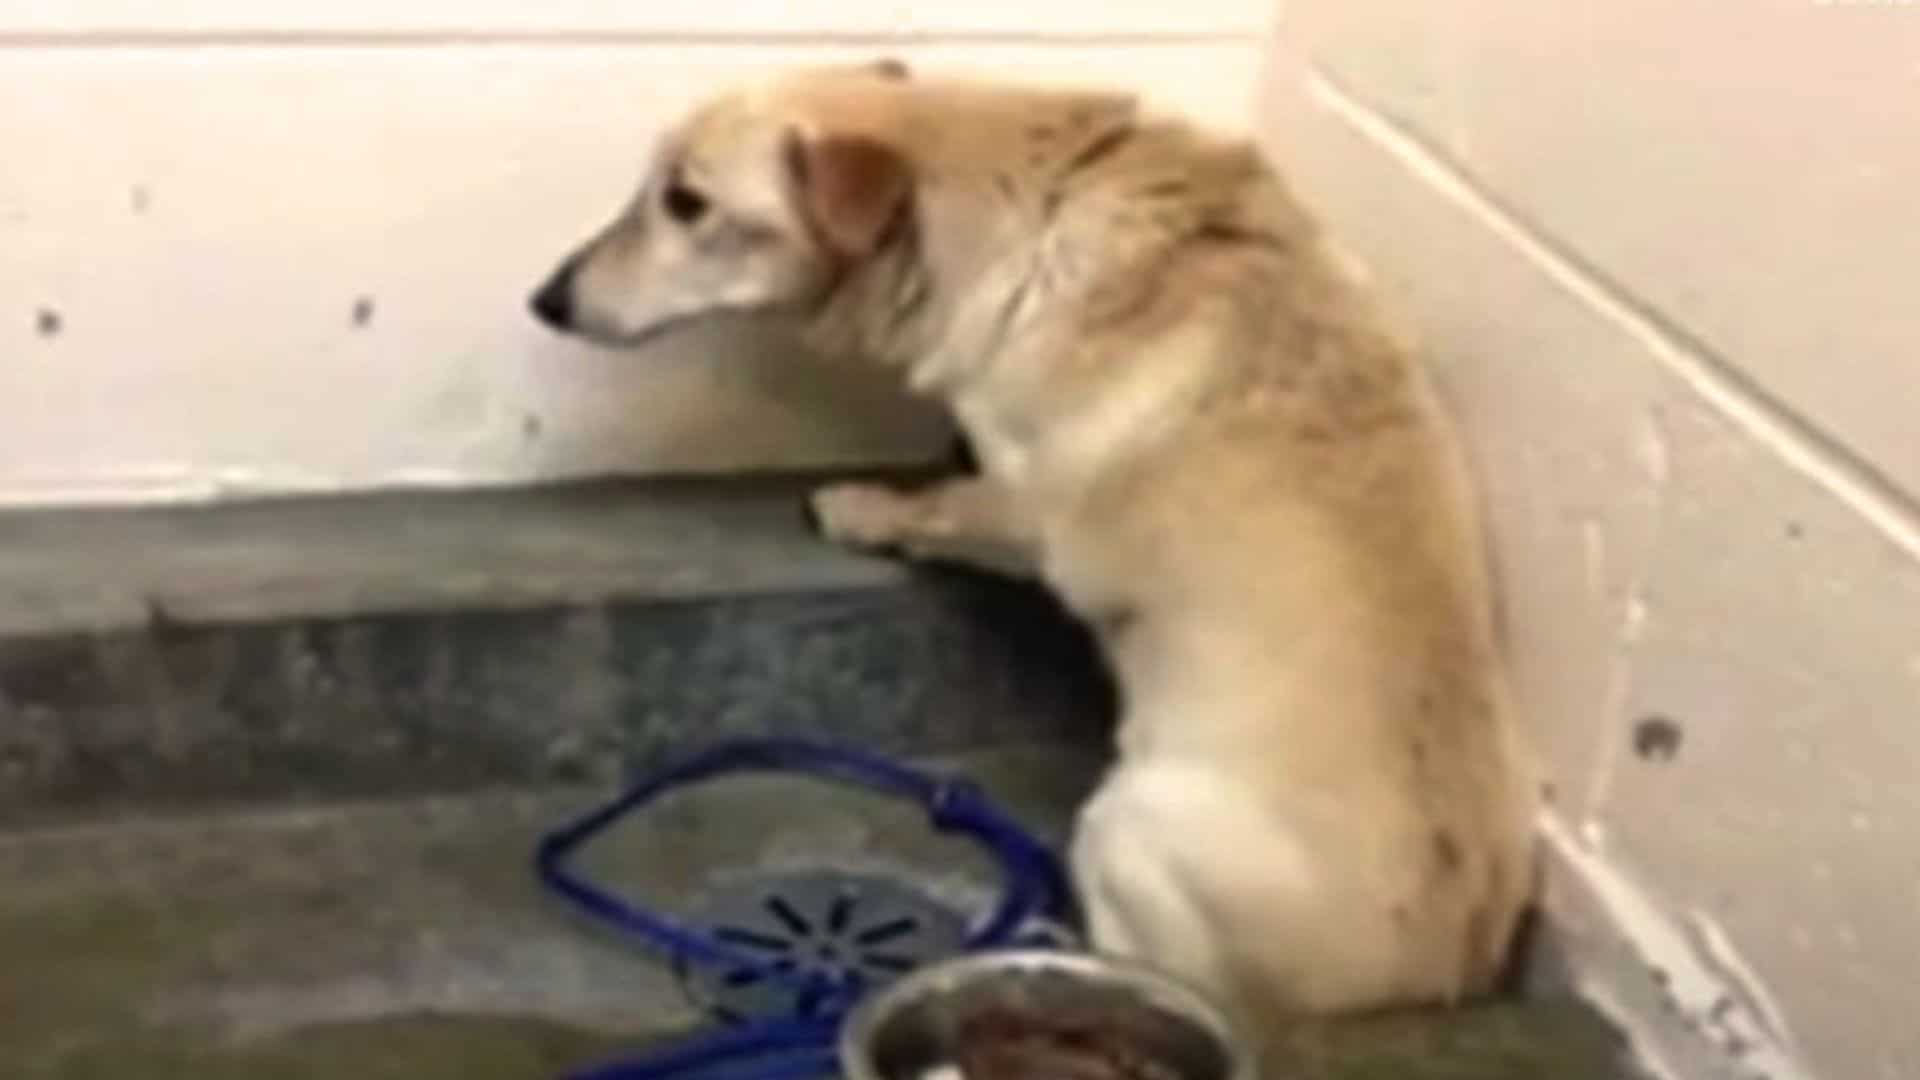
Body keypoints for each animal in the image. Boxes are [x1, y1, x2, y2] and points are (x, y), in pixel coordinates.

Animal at [529, 61, 1543, 1037]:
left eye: (687, 202)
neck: (1012, 203)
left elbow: (941, 509)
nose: (547, 300)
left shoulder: (1029, 513)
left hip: (1124, 822)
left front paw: (864, 506)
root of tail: (1441, 975)